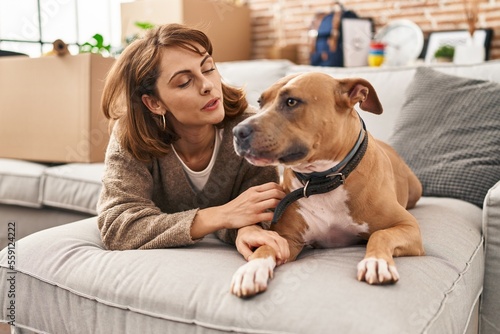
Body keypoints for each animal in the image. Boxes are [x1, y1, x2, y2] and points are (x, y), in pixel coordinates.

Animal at [232, 72, 424, 298]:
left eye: (291, 102)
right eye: (260, 102)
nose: (237, 131)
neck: (322, 179)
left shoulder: (407, 226)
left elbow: (380, 234)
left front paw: (376, 262)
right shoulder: (286, 239)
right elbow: (265, 248)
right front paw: (251, 270)